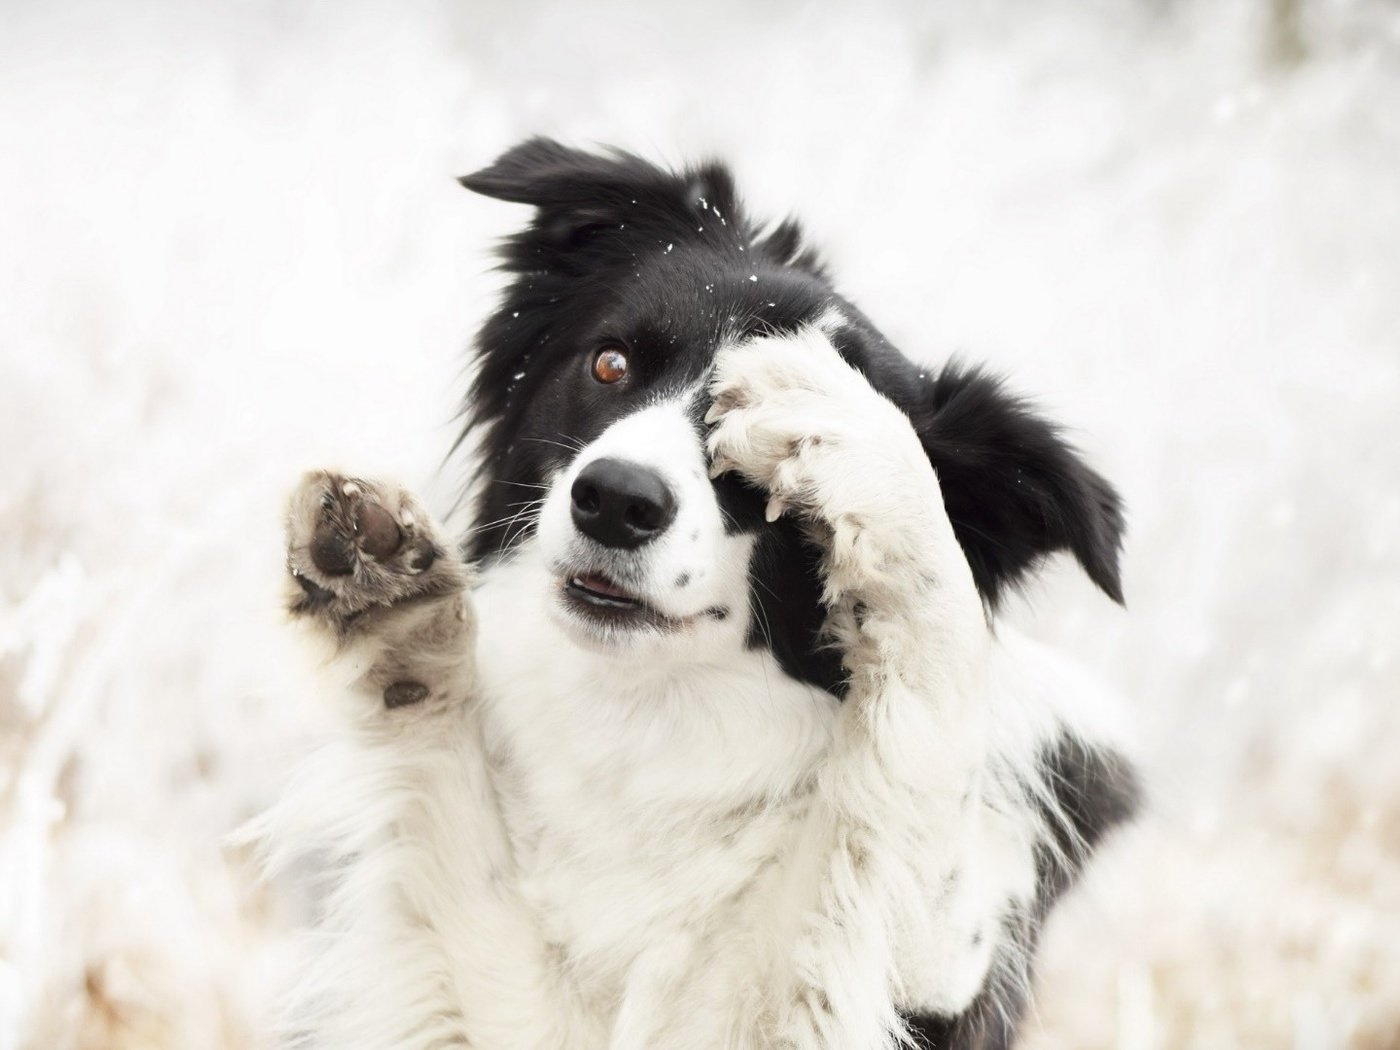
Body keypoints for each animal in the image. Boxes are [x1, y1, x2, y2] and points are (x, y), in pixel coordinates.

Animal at [270, 142, 1136, 1050]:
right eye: (611, 363)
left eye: (773, 474)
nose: (615, 500)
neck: (650, 719)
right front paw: (392, 602)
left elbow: (924, 747)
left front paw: (851, 427)